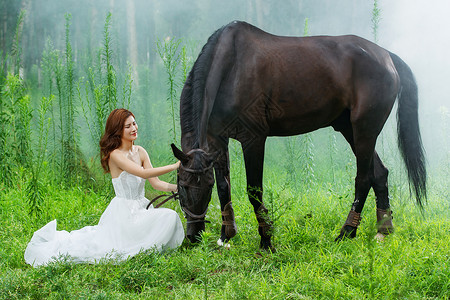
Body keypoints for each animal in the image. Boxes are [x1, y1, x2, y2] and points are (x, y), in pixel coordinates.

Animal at [171, 21, 428, 248]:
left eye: (200, 186)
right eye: (182, 186)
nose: (193, 236)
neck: (230, 68)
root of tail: (386, 55)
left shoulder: (253, 139)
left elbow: (254, 190)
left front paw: (266, 240)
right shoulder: (216, 140)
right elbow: (225, 188)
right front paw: (226, 236)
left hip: (365, 129)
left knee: (364, 179)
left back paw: (347, 232)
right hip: (351, 130)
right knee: (380, 173)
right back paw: (384, 230)